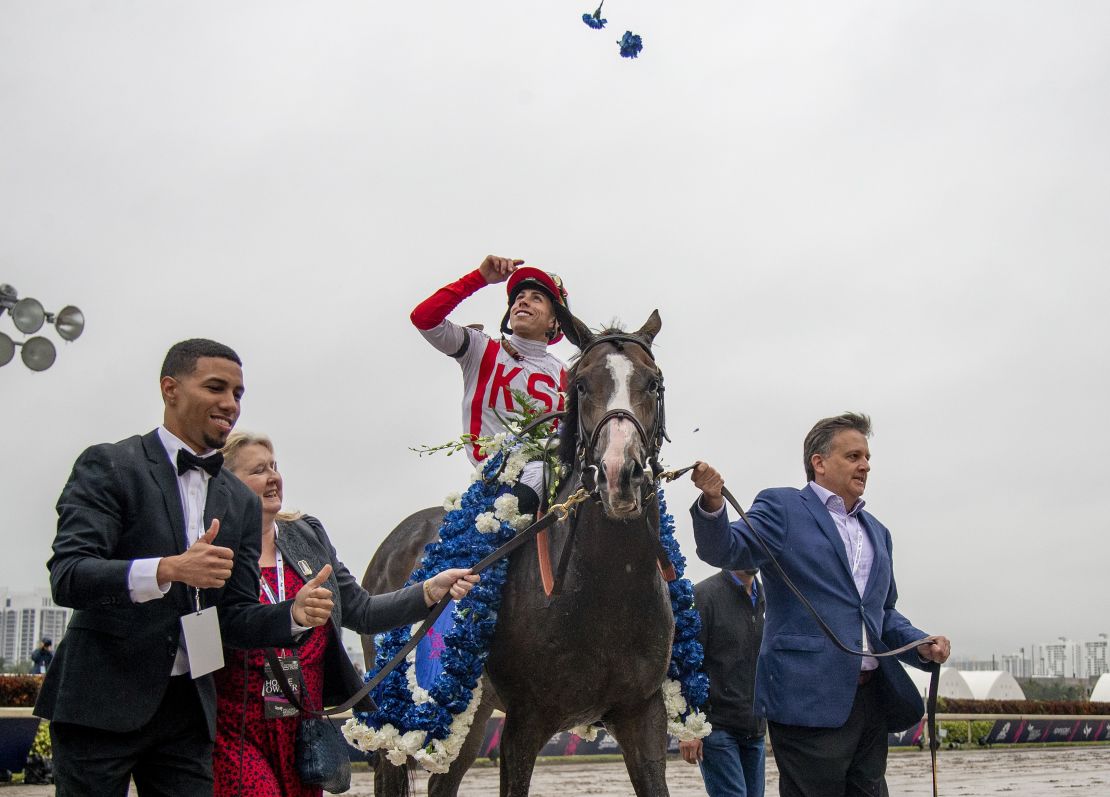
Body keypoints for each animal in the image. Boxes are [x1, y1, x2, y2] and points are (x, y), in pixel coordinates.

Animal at [361, 308, 674, 797]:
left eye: (654, 382)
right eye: (581, 385)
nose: (619, 474)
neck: (606, 590)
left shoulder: (643, 717)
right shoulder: (524, 724)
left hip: (471, 712)